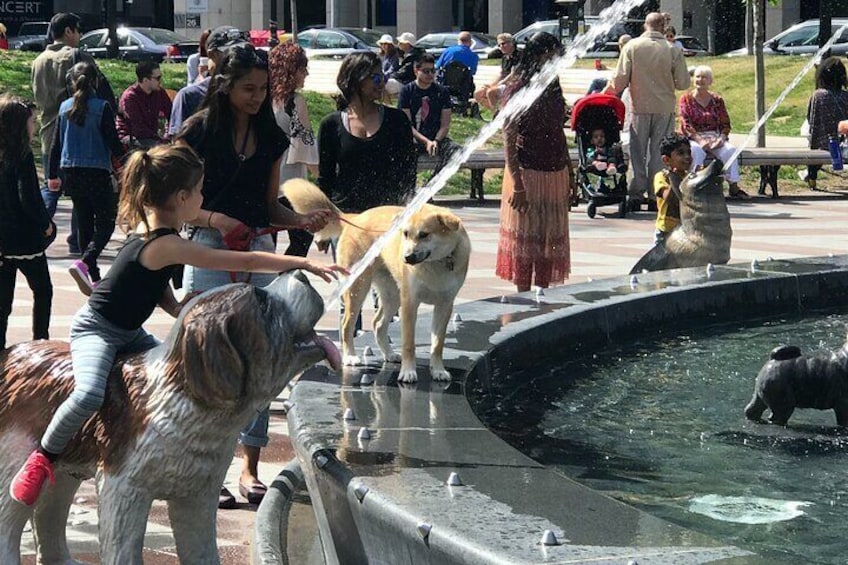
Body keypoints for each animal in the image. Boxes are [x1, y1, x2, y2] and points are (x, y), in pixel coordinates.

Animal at [284, 180, 470, 384]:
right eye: (405, 233)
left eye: (424, 234)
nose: (406, 257)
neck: (437, 262)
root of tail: (355, 218)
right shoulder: (410, 303)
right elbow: (409, 343)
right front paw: (408, 372)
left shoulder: (445, 305)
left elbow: (438, 343)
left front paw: (438, 370)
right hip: (358, 287)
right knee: (347, 325)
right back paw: (350, 356)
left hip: (392, 294)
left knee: (378, 323)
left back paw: (389, 354)